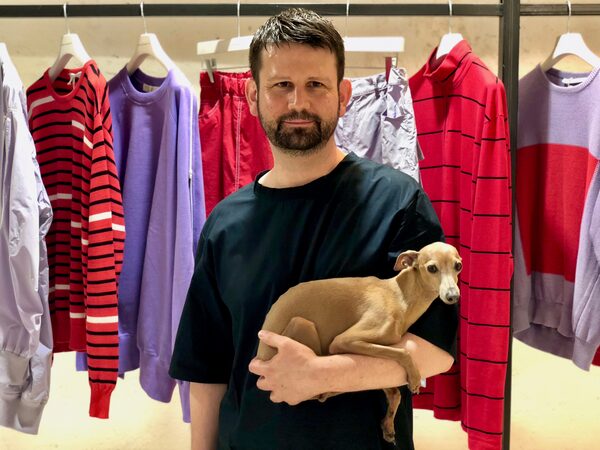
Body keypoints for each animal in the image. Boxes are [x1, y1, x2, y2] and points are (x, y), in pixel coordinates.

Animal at [256, 241, 461, 443]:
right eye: (432, 268)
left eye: (458, 266)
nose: (453, 296)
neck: (400, 297)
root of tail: (261, 353)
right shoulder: (343, 341)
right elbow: (402, 352)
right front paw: (415, 377)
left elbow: (394, 392)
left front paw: (388, 426)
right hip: (302, 324)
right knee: (319, 393)